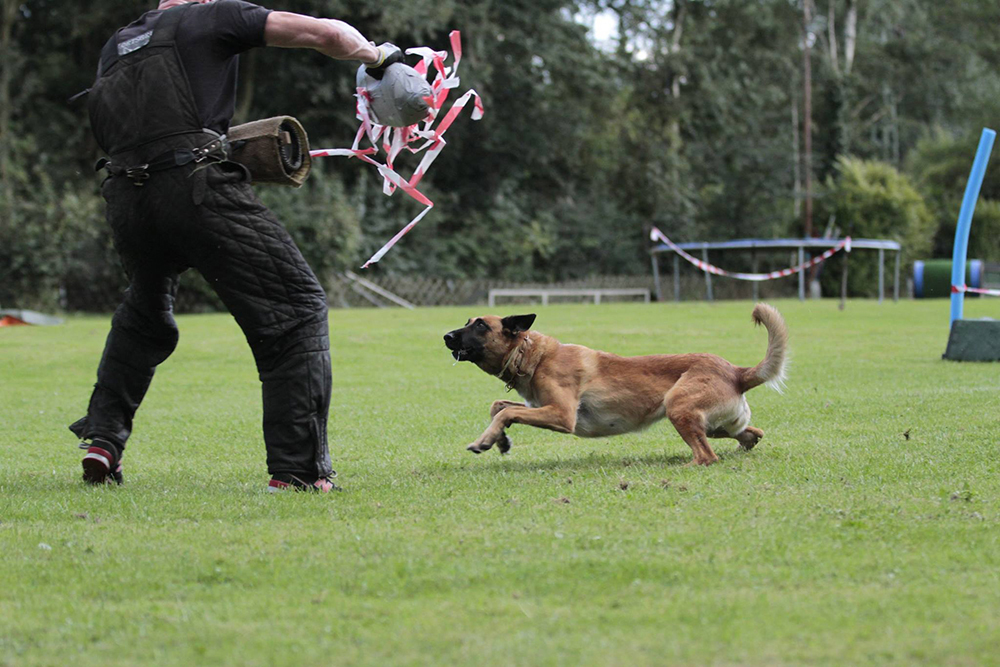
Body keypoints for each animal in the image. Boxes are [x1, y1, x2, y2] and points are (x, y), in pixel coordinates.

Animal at [446, 302, 788, 464]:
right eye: (467, 322)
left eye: (480, 325)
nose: (446, 336)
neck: (533, 355)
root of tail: (737, 372)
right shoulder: (538, 405)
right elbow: (499, 406)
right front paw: (500, 440)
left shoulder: (562, 415)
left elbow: (505, 411)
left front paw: (484, 441)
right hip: (715, 424)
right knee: (750, 434)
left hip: (678, 406)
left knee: (707, 457)